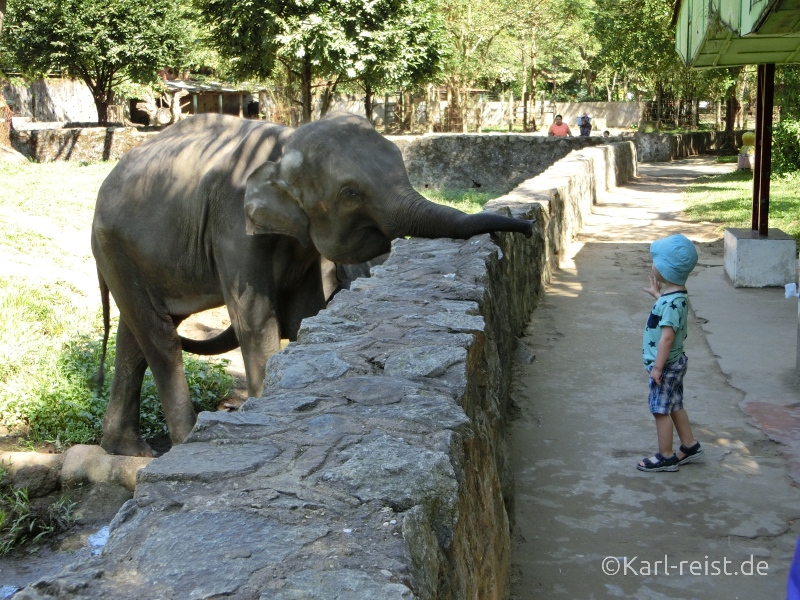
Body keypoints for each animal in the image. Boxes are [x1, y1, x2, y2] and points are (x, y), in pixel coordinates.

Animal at [90, 111, 536, 454]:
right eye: (350, 193)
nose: (528, 226)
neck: (284, 142)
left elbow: (307, 313)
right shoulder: (232, 222)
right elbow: (254, 318)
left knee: (136, 338)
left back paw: (127, 449)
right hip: (115, 248)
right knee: (160, 338)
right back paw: (178, 442)